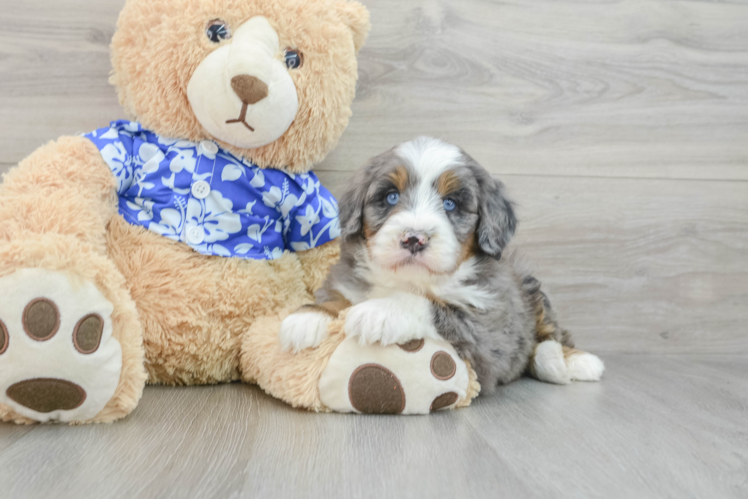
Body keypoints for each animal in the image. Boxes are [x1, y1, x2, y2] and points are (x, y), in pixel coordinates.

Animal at [278, 137, 604, 390]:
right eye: (390, 196)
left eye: (451, 204)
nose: (414, 239)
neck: (409, 279)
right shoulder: (347, 280)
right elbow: (335, 297)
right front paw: (307, 318)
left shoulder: (489, 326)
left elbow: (433, 305)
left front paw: (379, 312)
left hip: (529, 285)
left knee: (551, 333)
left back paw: (571, 362)